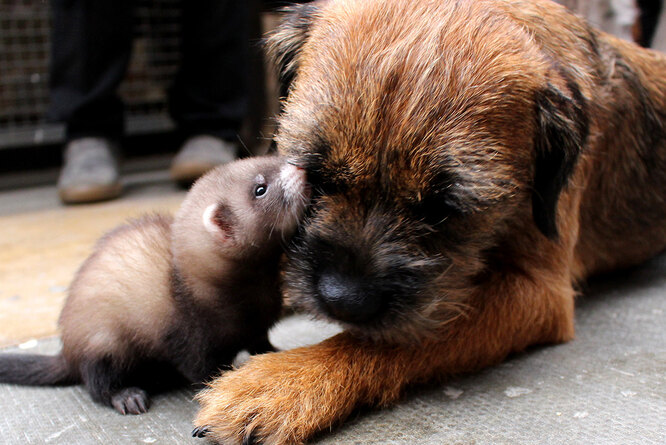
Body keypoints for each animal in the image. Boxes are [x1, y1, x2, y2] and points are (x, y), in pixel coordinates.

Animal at [189, 1, 660, 442]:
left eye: (442, 209)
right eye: (316, 176)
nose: (343, 300)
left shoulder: (539, 290)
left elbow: (390, 339)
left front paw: (281, 382)